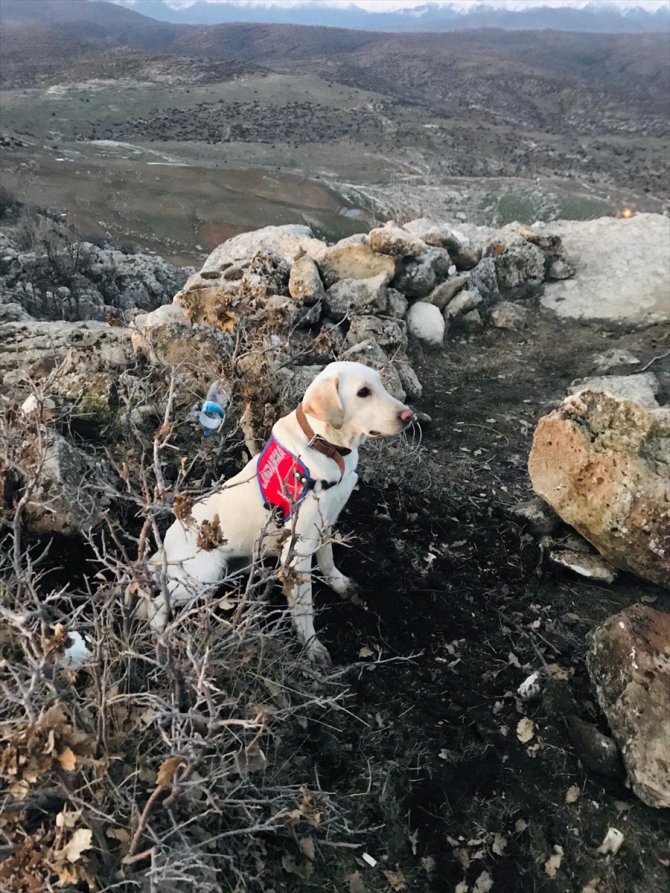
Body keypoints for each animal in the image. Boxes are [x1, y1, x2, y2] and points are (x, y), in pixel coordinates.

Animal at [146, 358, 414, 660]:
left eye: (380, 384)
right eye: (363, 393)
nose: (410, 416)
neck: (326, 444)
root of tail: (163, 550)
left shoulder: (327, 522)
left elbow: (328, 558)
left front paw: (339, 583)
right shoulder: (299, 546)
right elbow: (304, 604)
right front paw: (311, 645)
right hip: (205, 573)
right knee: (156, 604)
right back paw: (163, 640)